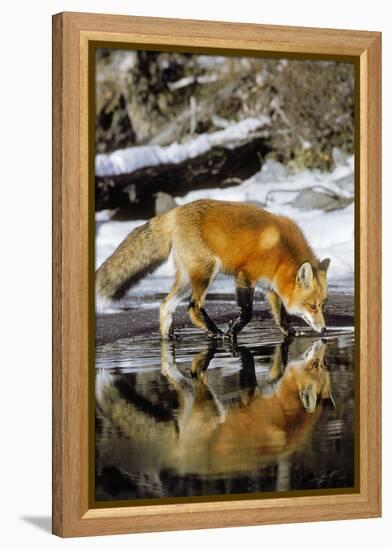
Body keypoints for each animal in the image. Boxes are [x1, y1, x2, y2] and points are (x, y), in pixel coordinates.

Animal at [97, 201, 330, 340]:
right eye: (312, 306)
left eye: (322, 305)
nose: (324, 329)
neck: (282, 252)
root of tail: (174, 212)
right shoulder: (245, 276)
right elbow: (247, 312)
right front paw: (233, 329)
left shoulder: (271, 286)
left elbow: (280, 314)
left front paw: (288, 331)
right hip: (206, 272)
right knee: (193, 307)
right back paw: (216, 333)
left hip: (187, 279)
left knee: (165, 305)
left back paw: (168, 339)